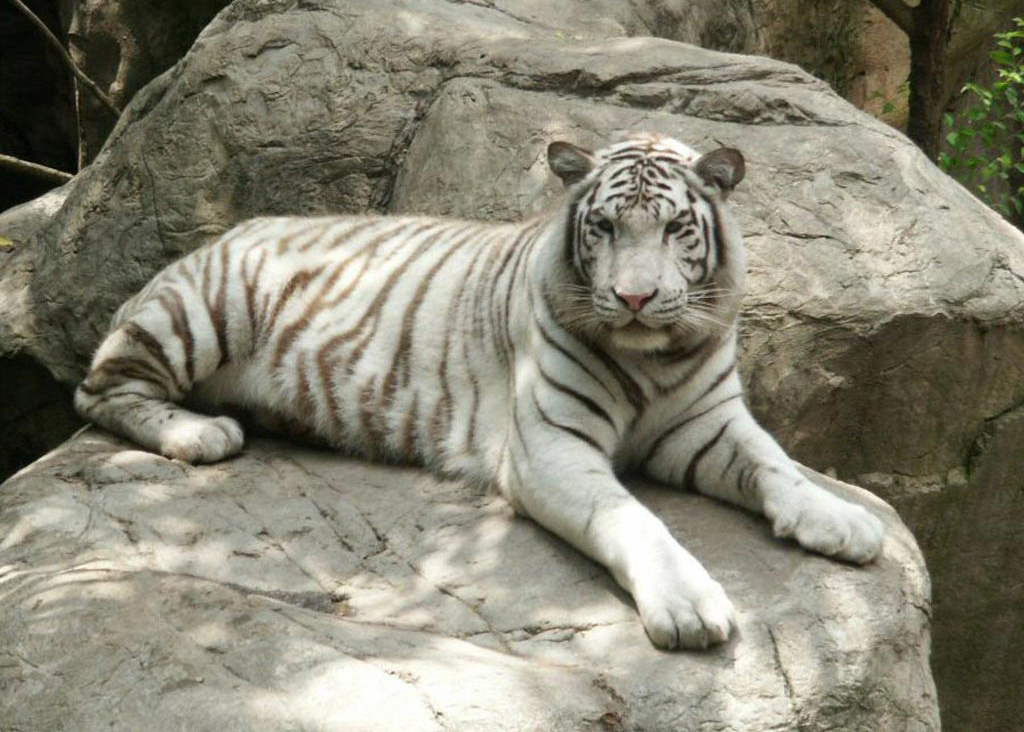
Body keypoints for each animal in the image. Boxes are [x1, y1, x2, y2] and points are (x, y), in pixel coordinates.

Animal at [74, 134, 884, 649]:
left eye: (675, 228)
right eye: (603, 227)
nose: (633, 298)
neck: (654, 356)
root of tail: (224, 232)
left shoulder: (708, 422)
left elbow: (777, 465)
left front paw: (845, 521)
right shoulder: (550, 447)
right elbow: (634, 519)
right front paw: (688, 606)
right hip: (198, 313)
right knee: (98, 389)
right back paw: (200, 431)